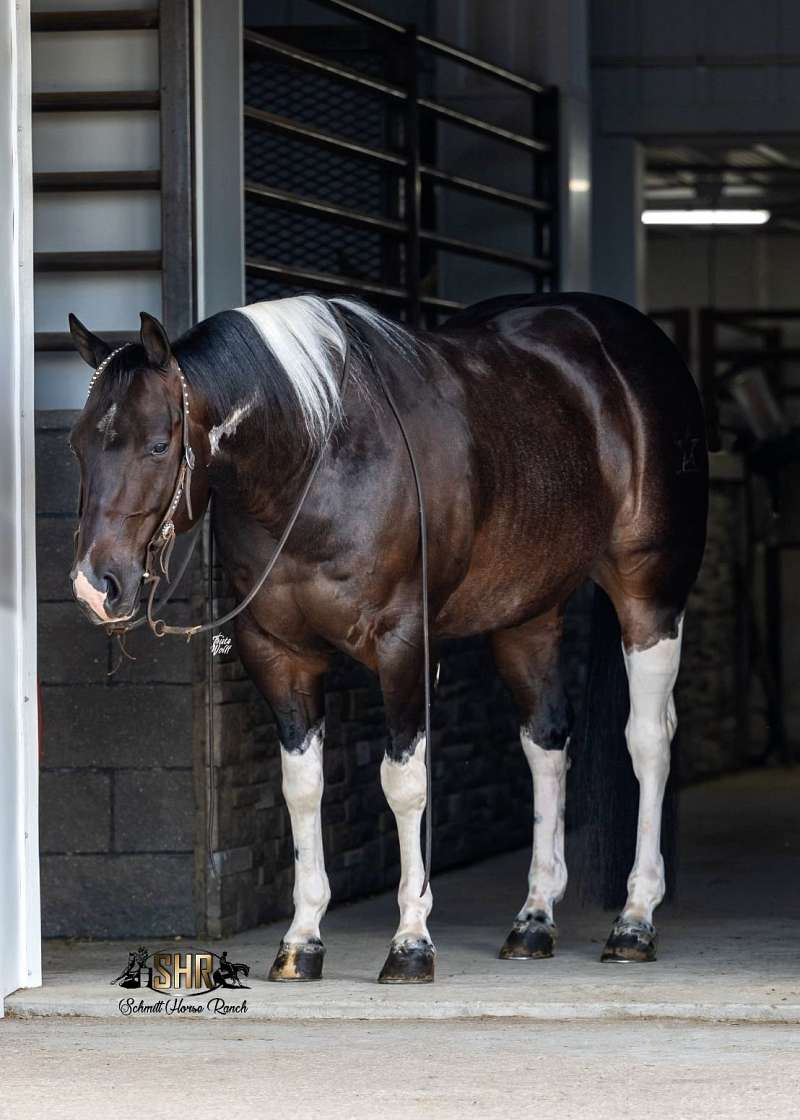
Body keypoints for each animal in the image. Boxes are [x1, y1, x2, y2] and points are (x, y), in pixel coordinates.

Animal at [67, 291, 708, 983]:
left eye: (159, 445)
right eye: (77, 446)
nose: (95, 587)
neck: (317, 460)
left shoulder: (404, 647)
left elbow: (404, 784)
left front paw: (411, 941)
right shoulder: (279, 654)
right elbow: (302, 787)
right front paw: (301, 940)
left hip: (650, 597)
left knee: (649, 741)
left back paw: (634, 921)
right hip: (525, 615)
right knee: (545, 742)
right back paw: (534, 919)